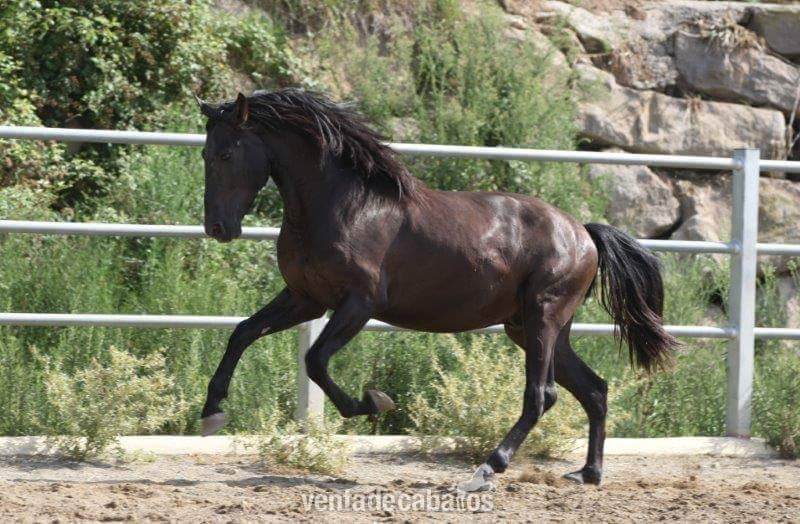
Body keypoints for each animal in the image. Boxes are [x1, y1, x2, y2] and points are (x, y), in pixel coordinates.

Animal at [195, 89, 677, 488]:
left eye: (227, 152)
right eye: (204, 152)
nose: (217, 228)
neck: (343, 205)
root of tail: (584, 233)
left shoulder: (358, 303)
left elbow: (315, 361)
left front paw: (375, 403)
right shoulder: (305, 299)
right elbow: (242, 332)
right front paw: (212, 413)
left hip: (543, 317)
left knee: (541, 395)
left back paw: (488, 469)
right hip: (531, 327)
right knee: (594, 389)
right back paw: (588, 474)